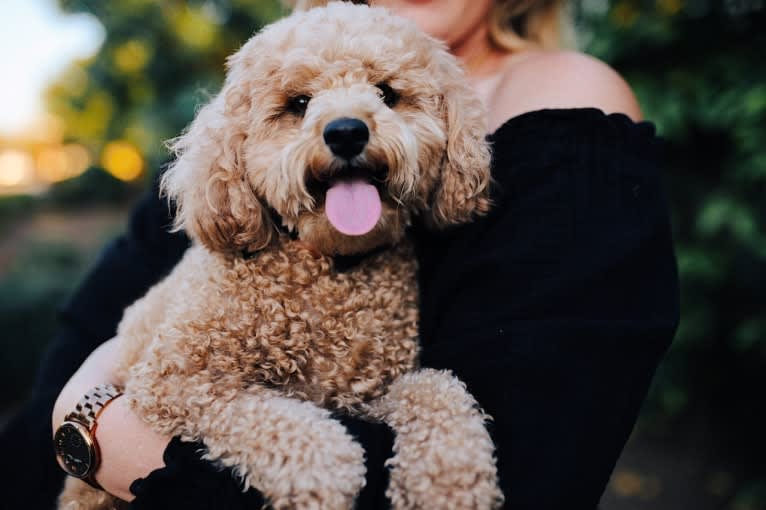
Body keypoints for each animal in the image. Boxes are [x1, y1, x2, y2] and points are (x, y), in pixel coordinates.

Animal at [58, 1, 504, 508]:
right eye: (299, 103)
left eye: (387, 93)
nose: (346, 131)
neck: (330, 268)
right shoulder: (176, 381)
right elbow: (270, 418)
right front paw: (324, 471)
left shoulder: (370, 391)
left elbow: (436, 388)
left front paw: (451, 472)